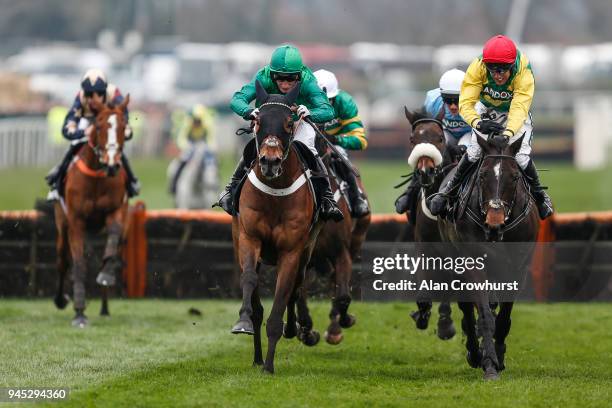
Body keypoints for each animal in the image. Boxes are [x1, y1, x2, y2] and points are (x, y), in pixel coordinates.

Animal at [53, 95, 131, 328]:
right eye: (98, 125)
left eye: (123, 126)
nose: (112, 164)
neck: (97, 176)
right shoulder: (76, 221)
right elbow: (78, 264)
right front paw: (79, 313)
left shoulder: (116, 211)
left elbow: (112, 245)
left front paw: (106, 275)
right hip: (62, 224)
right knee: (62, 261)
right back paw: (61, 299)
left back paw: (105, 308)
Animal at [231, 79, 326, 372]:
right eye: (258, 121)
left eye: (288, 122)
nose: (270, 161)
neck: (274, 194)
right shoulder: (249, 238)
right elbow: (249, 279)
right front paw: (243, 321)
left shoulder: (292, 251)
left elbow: (283, 297)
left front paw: (270, 367)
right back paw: (256, 355)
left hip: (308, 248)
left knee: (295, 288)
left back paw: (294, 330)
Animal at [436, 134, 540, 380]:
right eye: (482, 175)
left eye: (514, 177)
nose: (494, 223)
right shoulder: (473, 263)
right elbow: (483, 314)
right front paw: (489, 363)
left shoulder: (518, 268)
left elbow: (503, 317)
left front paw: (499, 356)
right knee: (466, 307)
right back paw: (475, 353)